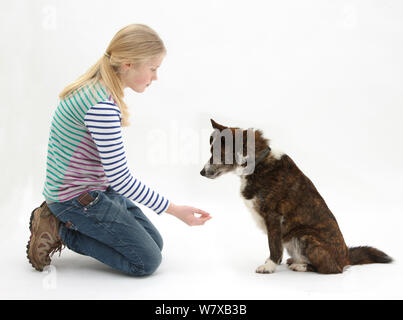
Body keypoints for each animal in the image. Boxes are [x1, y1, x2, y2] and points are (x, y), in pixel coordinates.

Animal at [200, 119, 392, 274]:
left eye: (216, 154)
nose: (201, 173)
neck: (257, 161)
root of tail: (346, 257)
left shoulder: (273, 217)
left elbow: (273, 246)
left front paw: (269, 266)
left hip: (305, 237)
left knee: (332, 269)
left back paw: (301, 266)